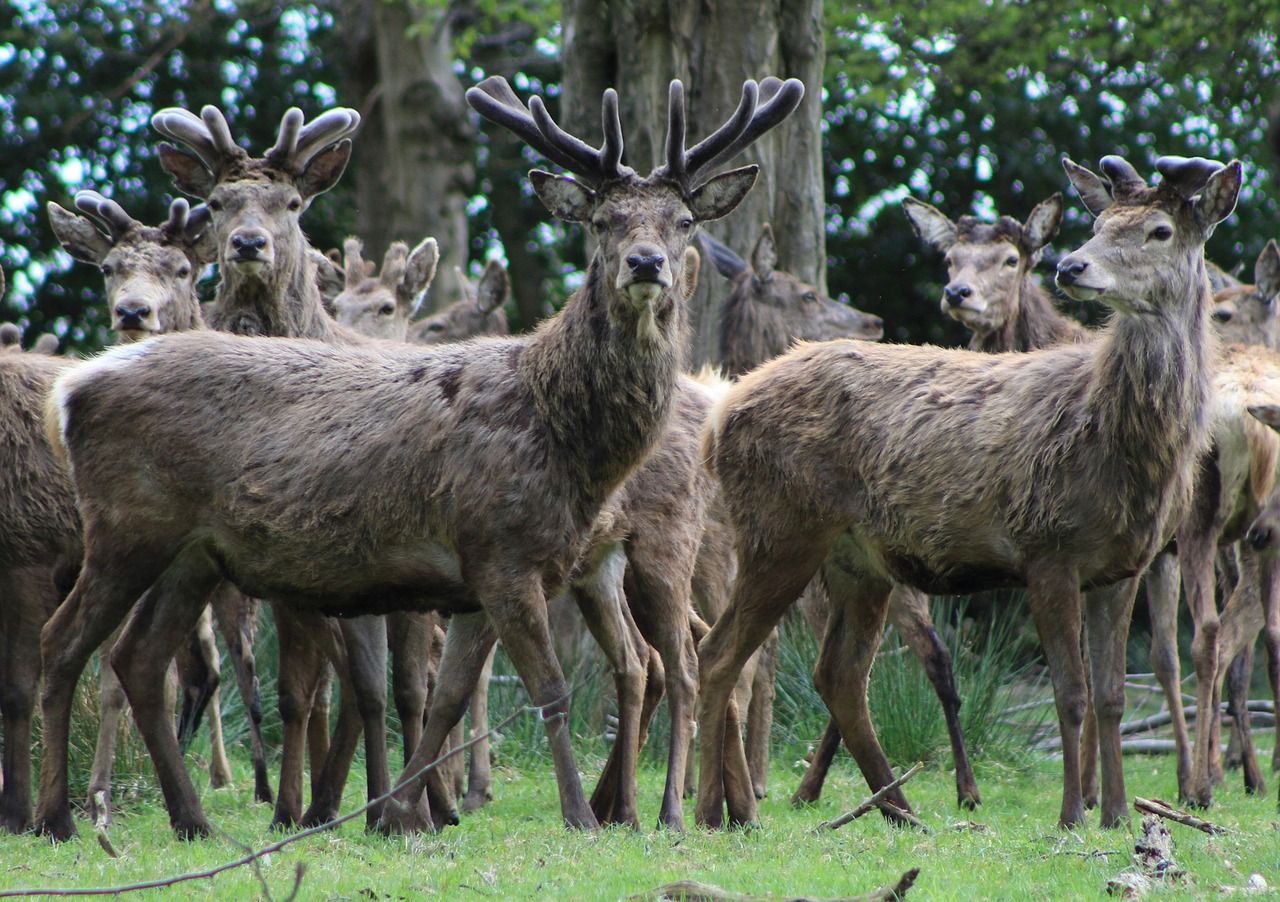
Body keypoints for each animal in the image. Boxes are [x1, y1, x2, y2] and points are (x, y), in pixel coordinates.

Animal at [701, 156, 1239, 829]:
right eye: (1098, 223)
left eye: (1160, 230)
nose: (1072, 266)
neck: (1115, 438)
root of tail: (721, 415)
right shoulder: (1047, 547)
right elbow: (1071, 692)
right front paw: (1072, 814)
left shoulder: (1122, 566)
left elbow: (1112, 696)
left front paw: (1117, 812)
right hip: (779, 529)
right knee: (719, 654)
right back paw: (717, 811)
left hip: (859, 561)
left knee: (839, 676)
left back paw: (898, 810)